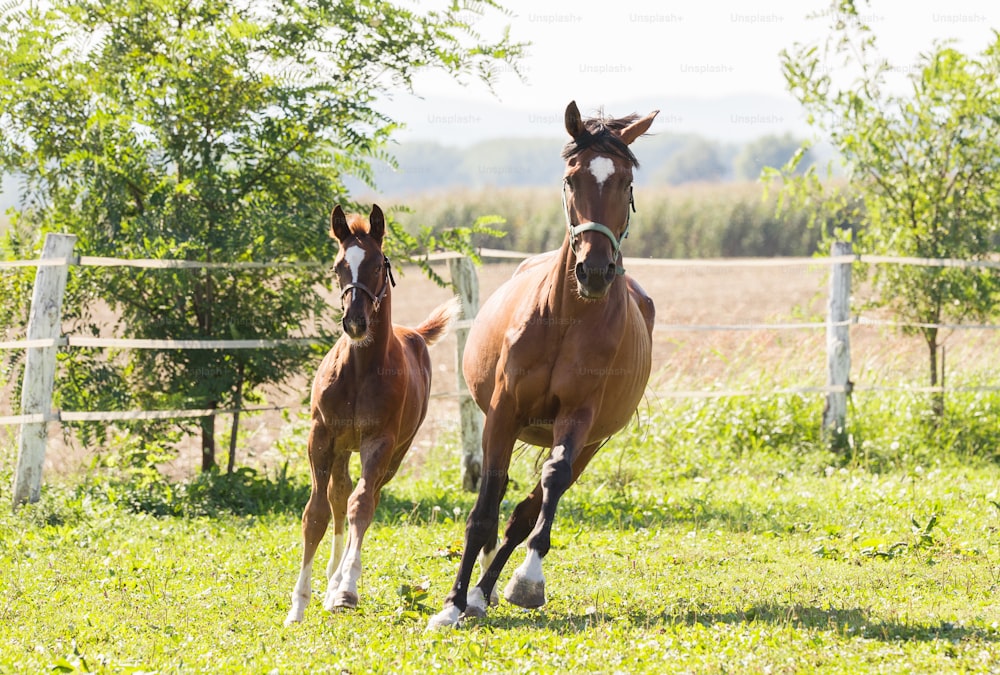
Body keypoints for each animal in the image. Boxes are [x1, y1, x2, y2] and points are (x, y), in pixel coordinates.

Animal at [286, 206, 458, 628]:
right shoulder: (320, 438)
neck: (360, 369)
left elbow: (361, 507)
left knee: (365, 499)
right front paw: (298, 604)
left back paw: (339, 583)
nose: (354, 322)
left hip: (394, 454)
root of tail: (414, 333)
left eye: (379, 264)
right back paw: (329, 580)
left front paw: (346, 591)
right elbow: (316, 513)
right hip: (342, 449)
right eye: (337, 266)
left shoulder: (379, 443)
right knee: (338, 496)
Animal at [428, 100, 656, 628]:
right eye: (572, 179)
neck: (567, 319)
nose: (594, 272)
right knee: (501, 503)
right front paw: (450, 604)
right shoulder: (503, 413)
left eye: (625, 182)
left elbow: (547, 485)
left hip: (591, 444)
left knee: (530, 508)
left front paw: (526, 582)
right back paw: (473, 594)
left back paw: (486, 591)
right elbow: (484, 506)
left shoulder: (579, 418)